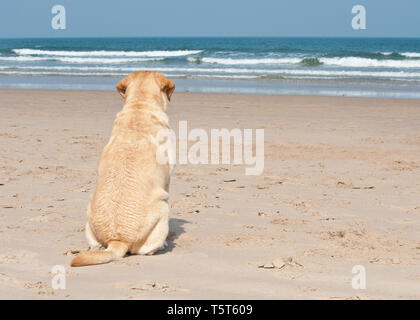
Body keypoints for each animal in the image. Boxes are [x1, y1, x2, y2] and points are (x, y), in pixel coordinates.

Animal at [72, 72, 176, 268]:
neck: (139, 108)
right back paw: (161, 245)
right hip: (163, 207)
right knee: (147, 249)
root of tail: (117, 241)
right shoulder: (167, 181)